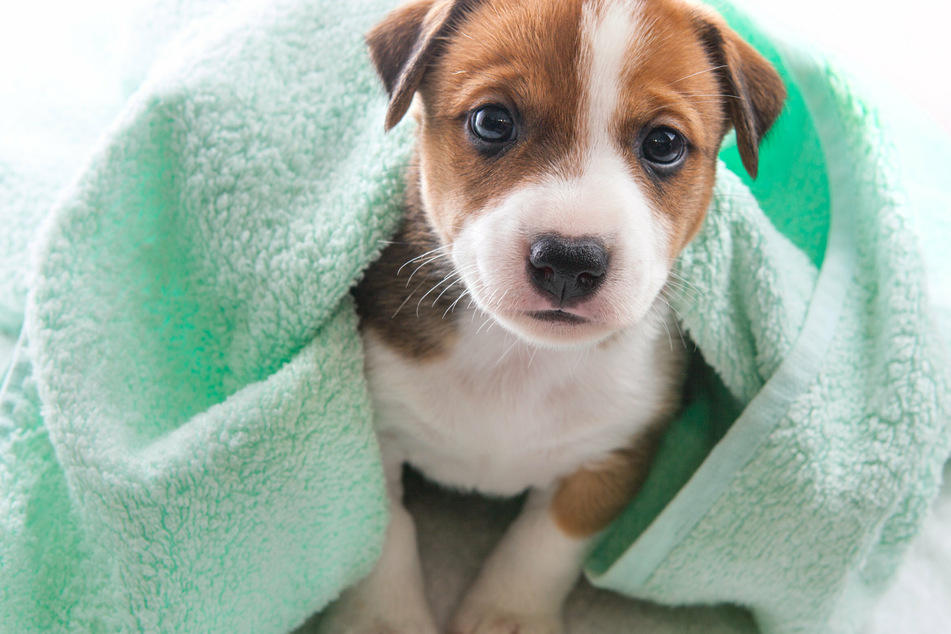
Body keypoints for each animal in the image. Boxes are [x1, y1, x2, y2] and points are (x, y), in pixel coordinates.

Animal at [324, 1, 784, 632]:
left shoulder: (613, 453)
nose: (569, 260)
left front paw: (506, 613)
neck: (520, 360)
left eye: (664, 143)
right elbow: (382, 532)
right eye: (492, 122)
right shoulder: (373, 433)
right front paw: (382, 619)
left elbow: (547, 541)